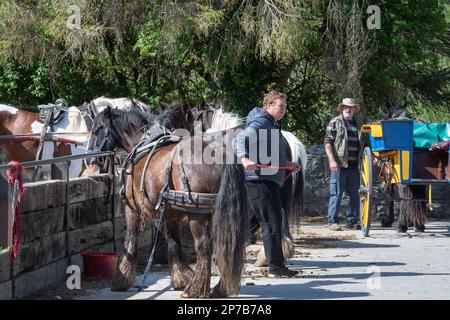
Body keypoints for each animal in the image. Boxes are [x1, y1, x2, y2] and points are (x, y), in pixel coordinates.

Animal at [87, 104, 250, 298]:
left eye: (95, 129)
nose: (90, 159)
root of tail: (220, 154)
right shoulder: (170, 212)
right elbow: (174, 241)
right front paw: (181, 277)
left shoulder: (133, 208)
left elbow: (132, 240)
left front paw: (122, 278)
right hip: (217, 212)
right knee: (225, 244)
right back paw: (219, 287)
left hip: (196, 215)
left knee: (204, 246)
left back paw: (195, 289)